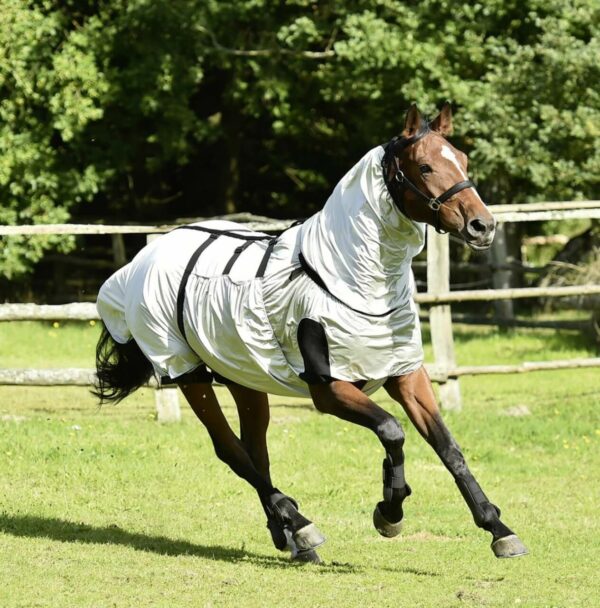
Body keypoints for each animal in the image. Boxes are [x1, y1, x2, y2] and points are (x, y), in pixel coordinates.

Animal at [92, 102, 524, 564]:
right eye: (425, 166)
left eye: (462, 159)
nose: (483, 226)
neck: (348, 280)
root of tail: (141, 260)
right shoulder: (329, 388)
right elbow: (392, 430)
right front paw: (390, 510)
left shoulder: (406, 374)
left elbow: (448, 447)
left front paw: (498, 529)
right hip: (187, 374)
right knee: (231, 450)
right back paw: (300, 524)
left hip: (244, 377)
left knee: (255, 451)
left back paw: (291, 537)